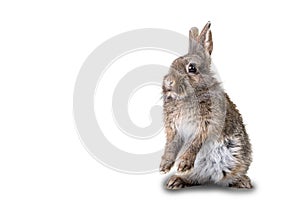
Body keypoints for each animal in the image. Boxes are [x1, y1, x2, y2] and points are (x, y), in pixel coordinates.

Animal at [159, 21, 253, 189]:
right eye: (172, 64)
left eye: (192, 68)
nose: (168, 82)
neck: (187, 98)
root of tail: (210, 177)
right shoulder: (173, 128)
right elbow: (171, 144)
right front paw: (164, 166)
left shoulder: (208, 122)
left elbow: (197, 141)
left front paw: (183, 163)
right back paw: (176, 180)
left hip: (238, 159)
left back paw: (243, 182)